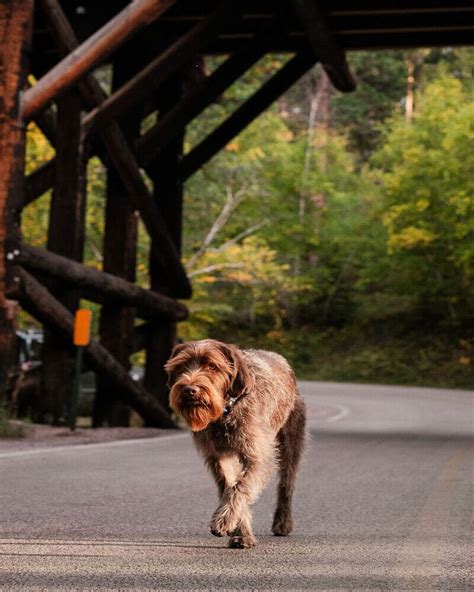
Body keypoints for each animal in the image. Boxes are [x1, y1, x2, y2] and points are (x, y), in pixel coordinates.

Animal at [165, 340, 306, 548]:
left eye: (212, 366)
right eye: (181, 366)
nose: (189, 390)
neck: (226, 412)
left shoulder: (258, 455)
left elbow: (241, 486)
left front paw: (224, 521)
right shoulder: (218, 457)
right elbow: (229, 486)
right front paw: (241, 531)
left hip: (291, 443)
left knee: (286, 486)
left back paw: (283, 522)